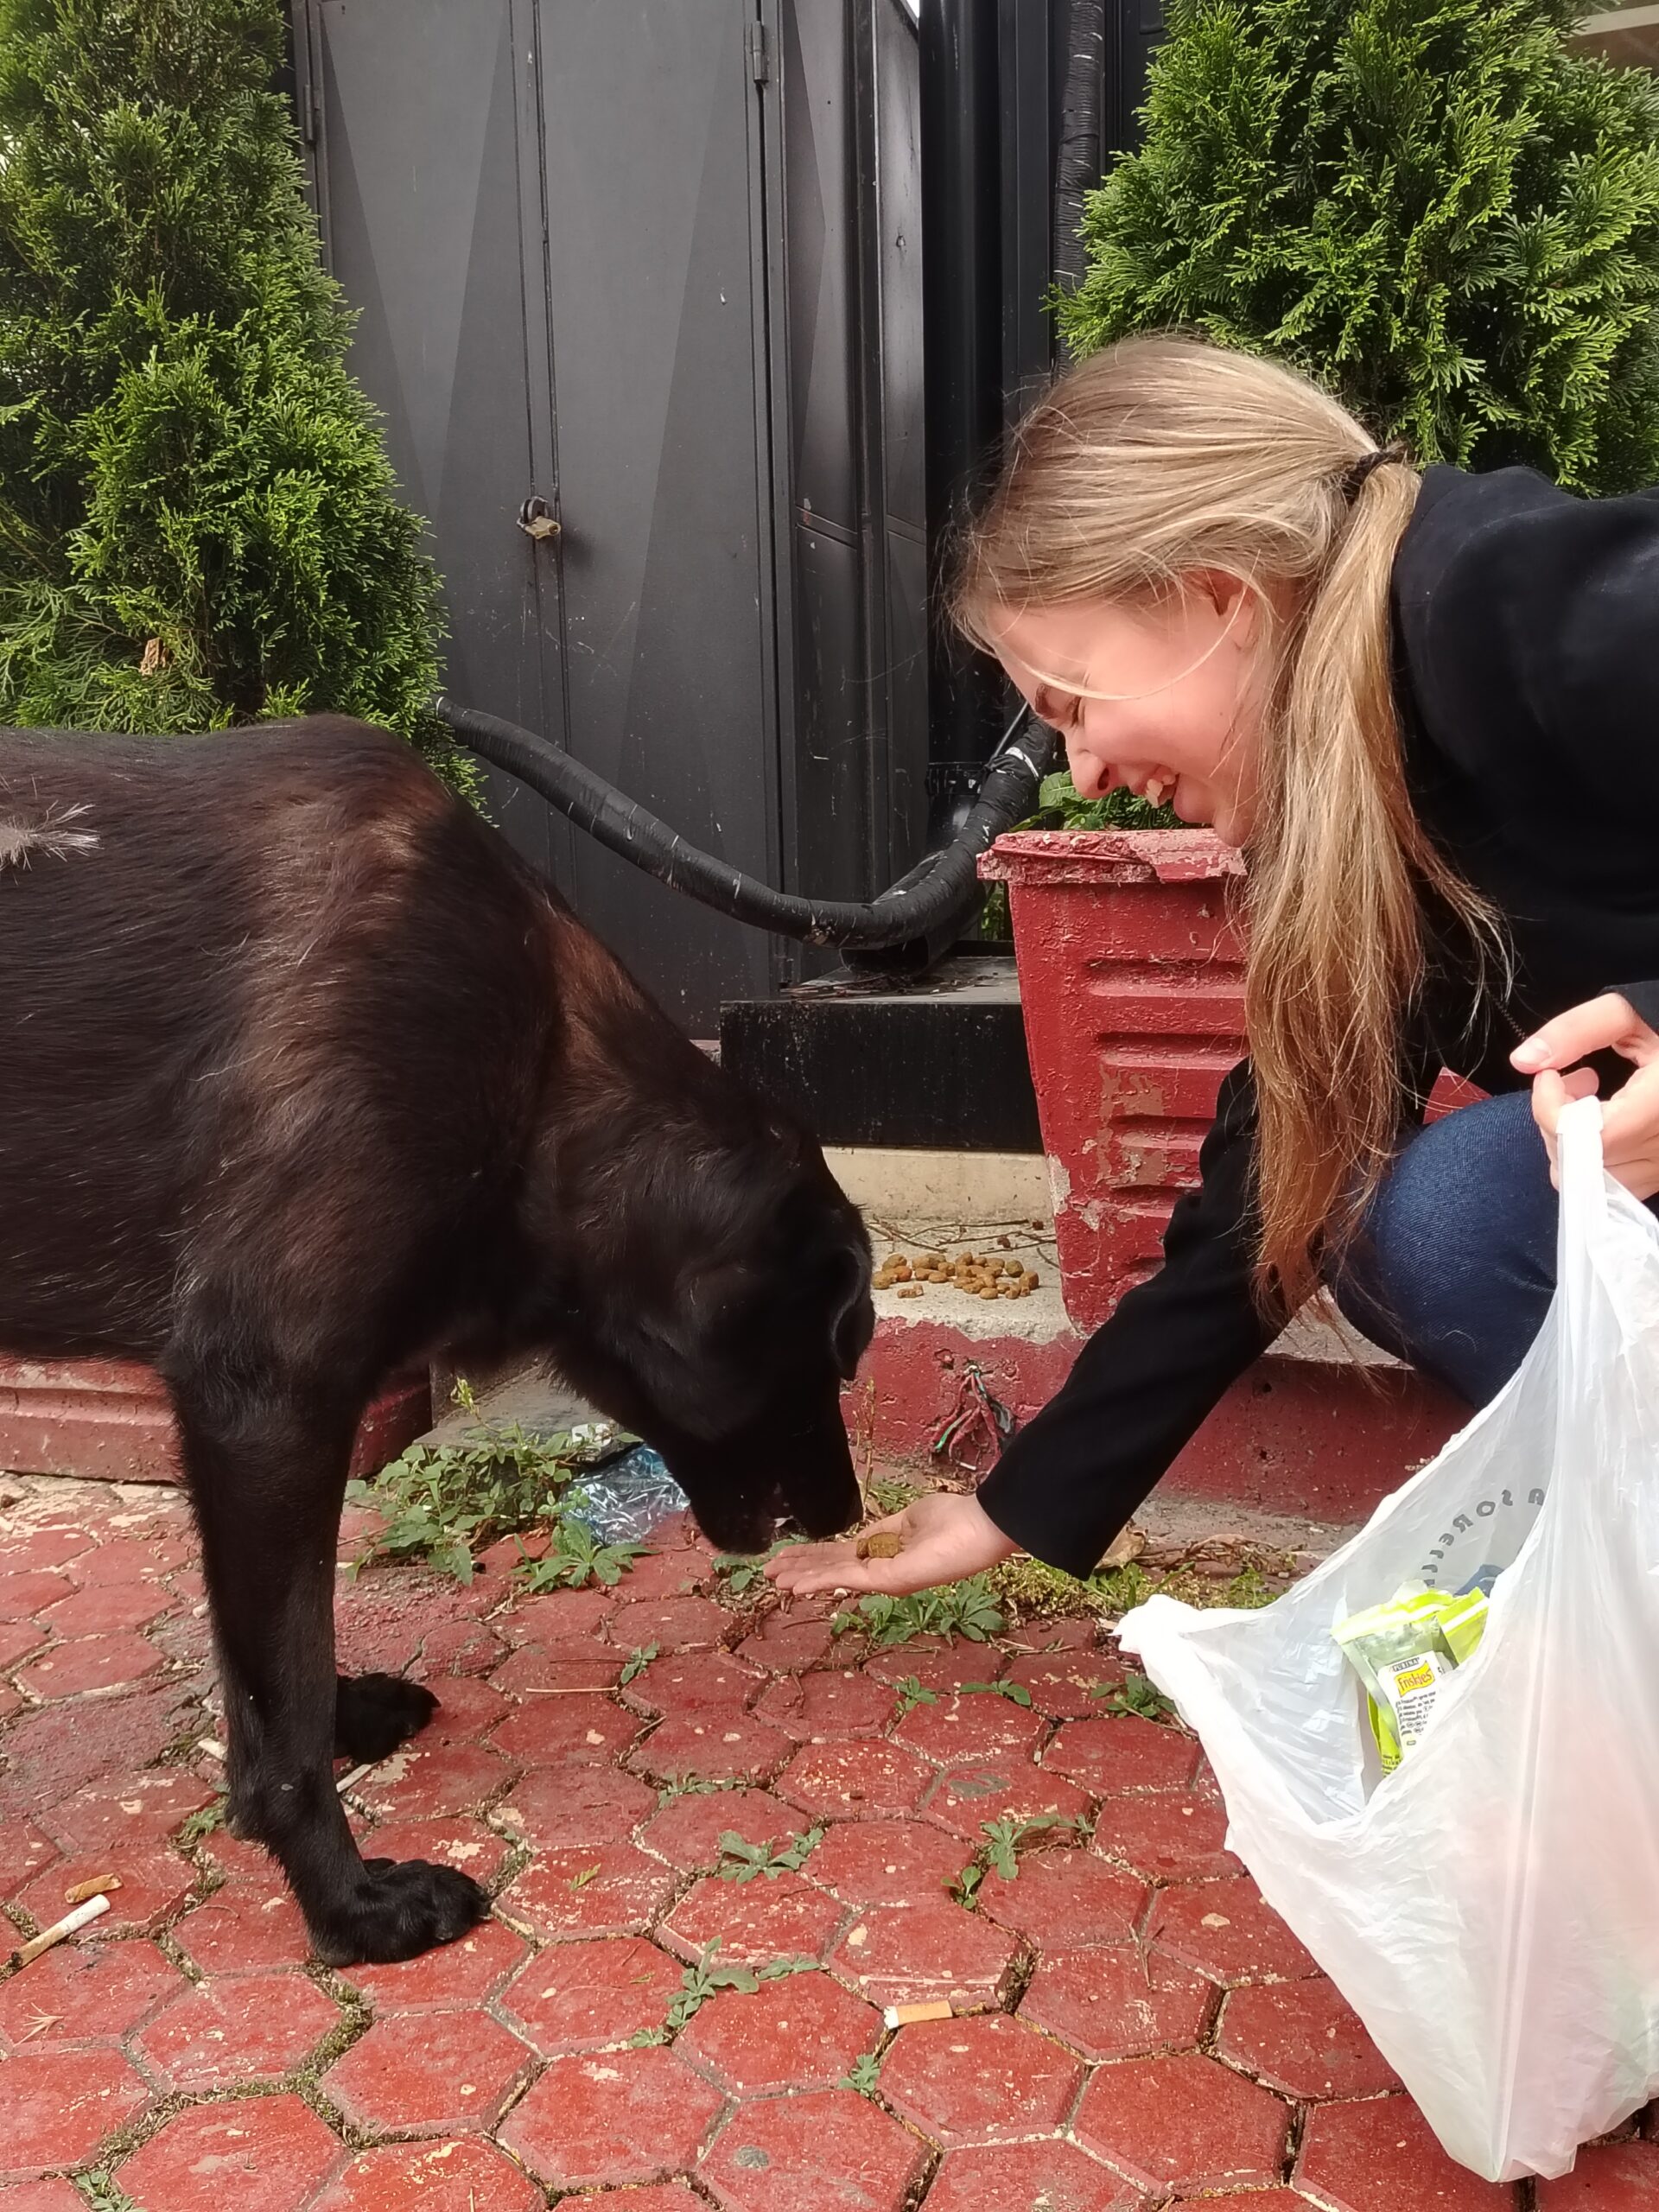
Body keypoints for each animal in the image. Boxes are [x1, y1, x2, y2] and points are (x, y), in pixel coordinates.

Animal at [0, 716, 875, 1964]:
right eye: (829, 1356)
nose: (851, 1517)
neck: (540, 1071)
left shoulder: (245, 1430)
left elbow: (264, 1666)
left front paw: (333, 1725)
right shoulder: (267, 1399)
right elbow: (282, 1705)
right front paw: (349, 1902)